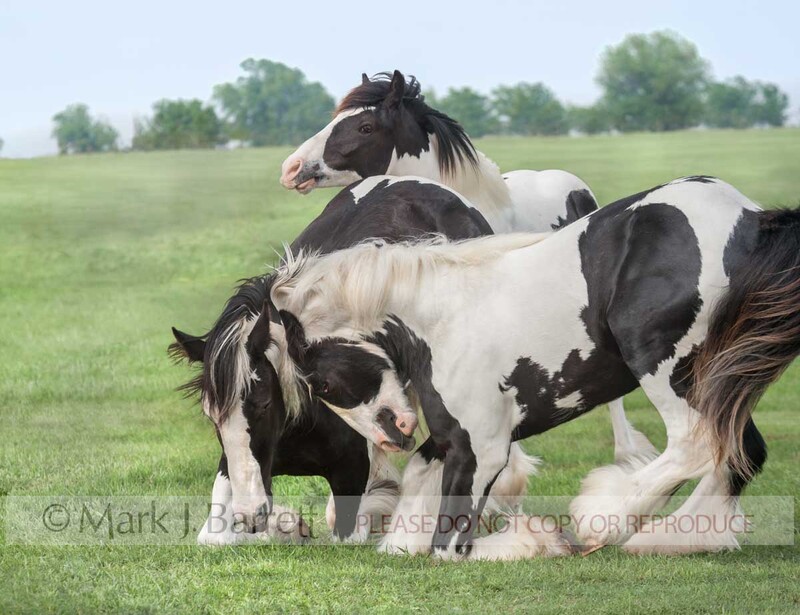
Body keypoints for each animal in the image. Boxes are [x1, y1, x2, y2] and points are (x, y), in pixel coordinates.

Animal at [171, 175, 535, 544]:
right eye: (212, 417)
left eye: (262, 404)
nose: (250, 513)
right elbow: (213, 532)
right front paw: (286, 526)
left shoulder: (350, 474)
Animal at [234, 176, 789, 560]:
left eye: (321, 381)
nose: (393, 433)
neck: (439, 315)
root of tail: (752, 220)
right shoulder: (451, 435)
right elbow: (419, 478)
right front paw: (400, 539)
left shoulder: (482, 448)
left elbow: (450, 544)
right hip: (725, 377)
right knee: (741, 449)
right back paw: (676, 538)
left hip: (669, 368)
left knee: (696, 444)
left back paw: (605, 519)